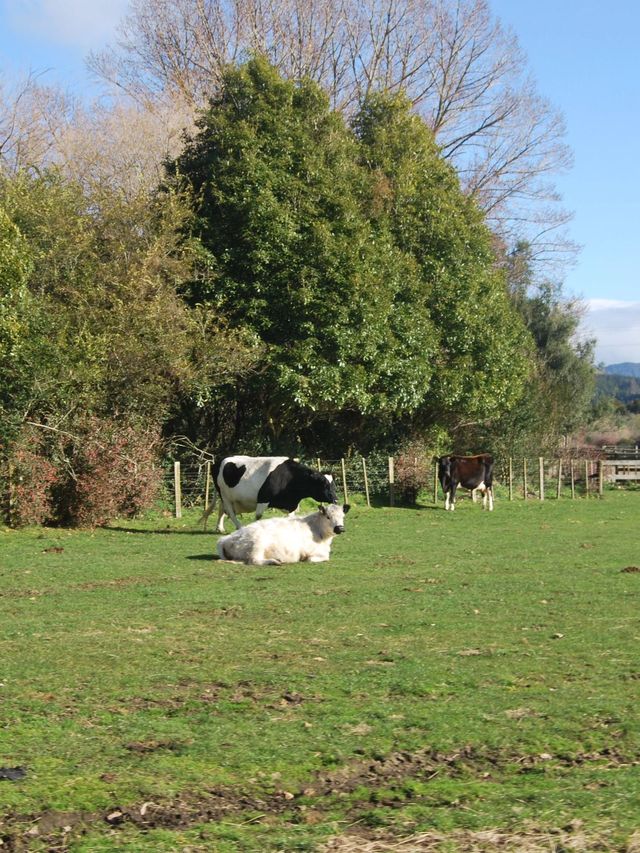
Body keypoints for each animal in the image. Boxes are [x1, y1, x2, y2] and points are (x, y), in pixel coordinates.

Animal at [202, 456, 338, 528]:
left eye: (333, 485)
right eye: (324, 484)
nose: (336, 499)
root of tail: (218, 462)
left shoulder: (290, 504)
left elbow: (290, 518)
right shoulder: (263, 498)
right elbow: (258, 516)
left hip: (228, 497)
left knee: (222, 509)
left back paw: (220, 528)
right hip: (225, 496)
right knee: (230, 512)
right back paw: (239, 527)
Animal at [215, 502, 350, 564]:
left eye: (343, 516)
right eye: (328, 517)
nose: (339, 528)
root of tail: (225, 539)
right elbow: (313, 559)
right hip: (257, 544)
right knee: (254, 560)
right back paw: (274, 562)